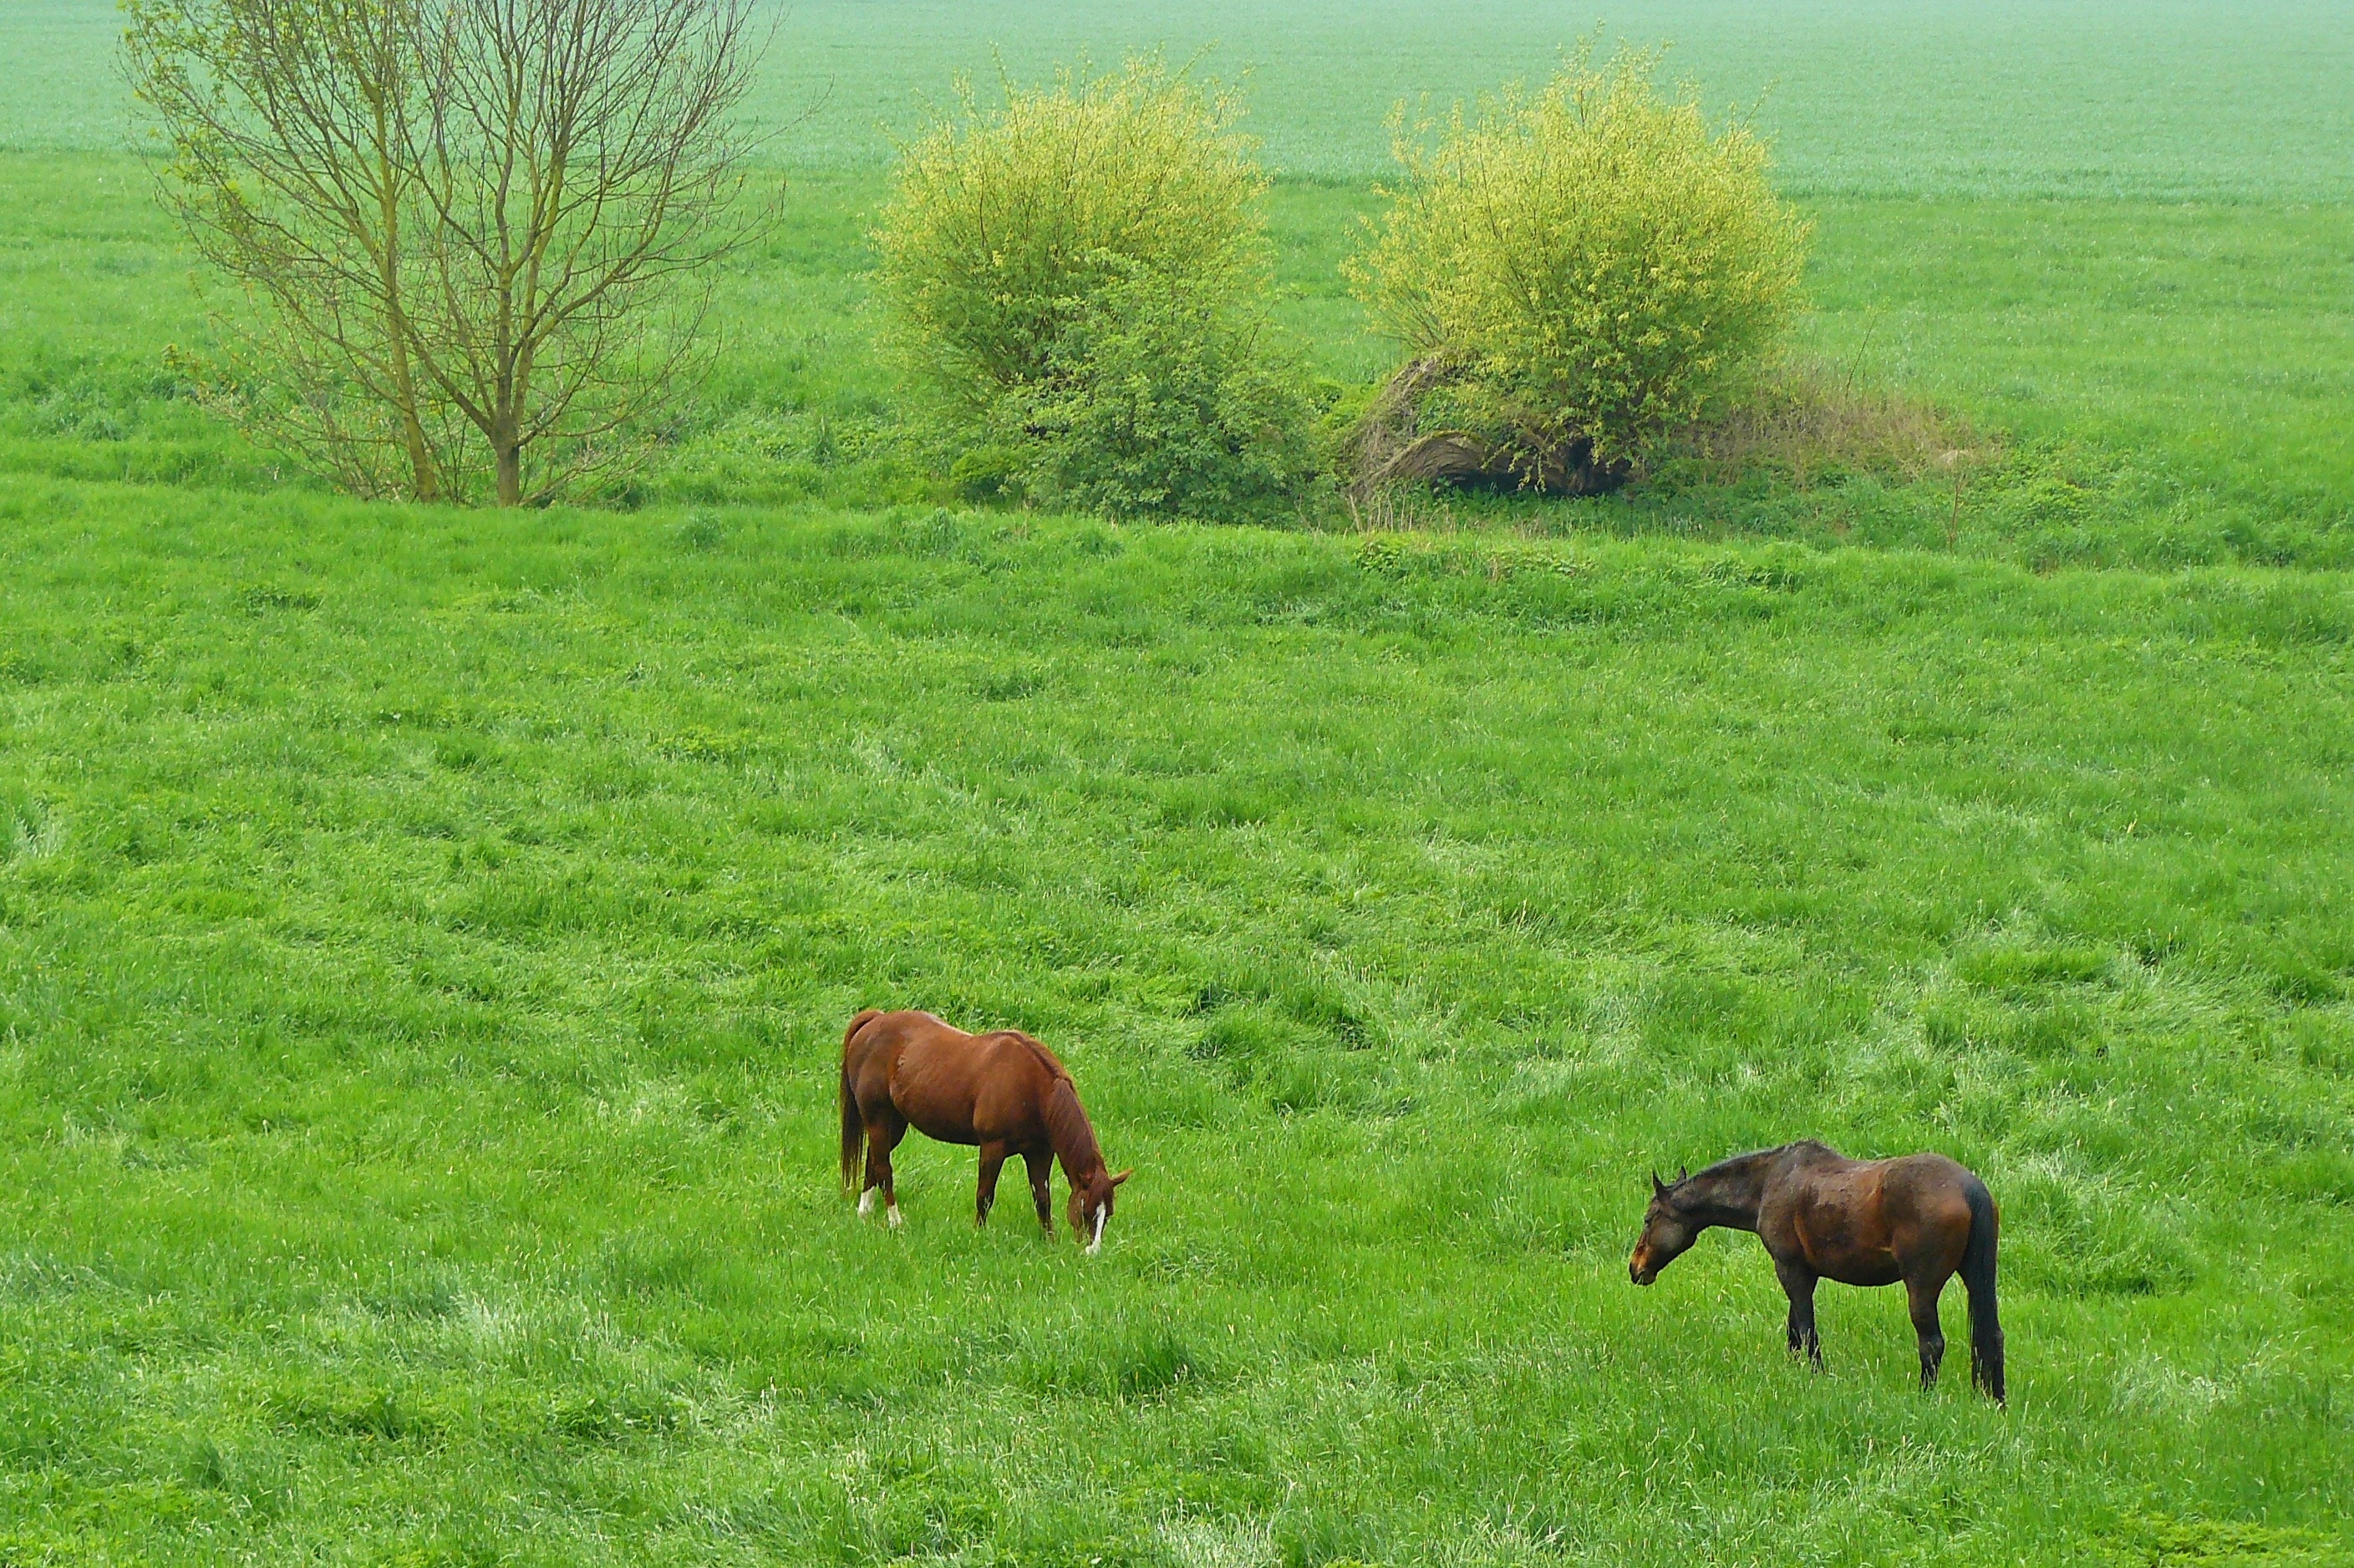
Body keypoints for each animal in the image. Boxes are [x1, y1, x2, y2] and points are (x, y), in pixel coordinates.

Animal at [837, 1012, 1130, 1243]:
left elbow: (1042, 1199)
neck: (1032, 1088)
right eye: (1086, 1211)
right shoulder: (992, 1148)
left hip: (894, 1124)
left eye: (1108, 1214)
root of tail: (874, 1020)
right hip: (877, 1119)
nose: (1092, 1252)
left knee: (873, 1162)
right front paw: (978, 1233)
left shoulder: (1040, 1153)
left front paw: (1050, 1241)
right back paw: (895, 1221)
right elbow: (985, 1195)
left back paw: (864, 1212)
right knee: (884, 1169)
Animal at [1638, 1134, 2006, 1393]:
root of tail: (1970, 1188)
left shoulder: (1790, 1269)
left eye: (1648, 1219)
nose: (1635, 1268)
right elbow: (1795, 1329)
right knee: (1992, 1337)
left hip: (1921, 1288)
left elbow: (1805, 1329)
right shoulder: (1803, 1274)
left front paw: (1814, 1375)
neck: (1768, 1183)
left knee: (1931, 1344)